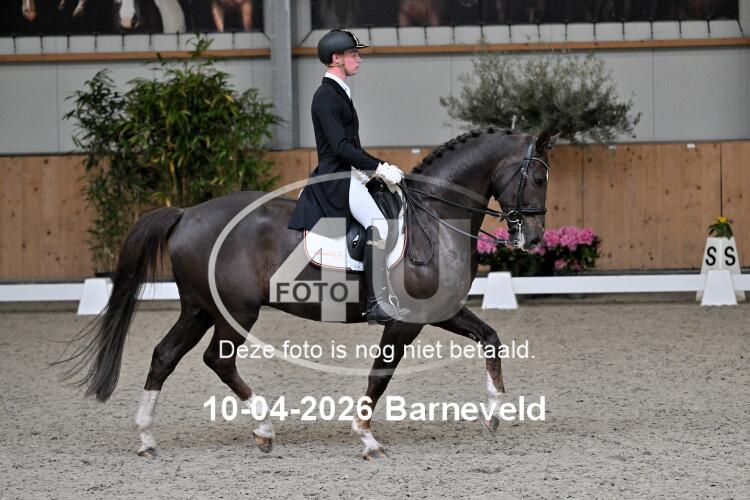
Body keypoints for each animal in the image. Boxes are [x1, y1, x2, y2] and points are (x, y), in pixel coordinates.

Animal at [62, 128, 558, 459]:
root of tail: (186, 213)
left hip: (199, 308)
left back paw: (147, 437)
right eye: (537, 178)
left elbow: (491, 339)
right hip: (235, 310)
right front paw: (367, 438)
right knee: (217, 360)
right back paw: (264, 429)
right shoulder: (404, 321)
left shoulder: (440, 311)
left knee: (165, 355)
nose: (533, 238)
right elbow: (381, 375)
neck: (433, 218)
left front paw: (494, 412)